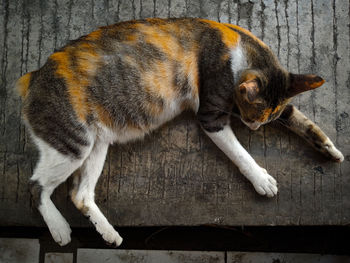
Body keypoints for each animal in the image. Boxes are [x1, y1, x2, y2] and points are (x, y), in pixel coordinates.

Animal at [16, 18, 344, 248]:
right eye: (251, 117)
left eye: (267, 119)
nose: (254, 127)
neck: (238, 47)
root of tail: (32, 77)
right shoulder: (211, 117)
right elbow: (240, 154)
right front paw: (262, 180)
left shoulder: (278, 102)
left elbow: (300, 119)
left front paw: (330, 149)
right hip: (73, 142)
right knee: (35, 186)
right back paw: (60, 229)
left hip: (98, 144)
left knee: (80, 194)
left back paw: (110, 234)